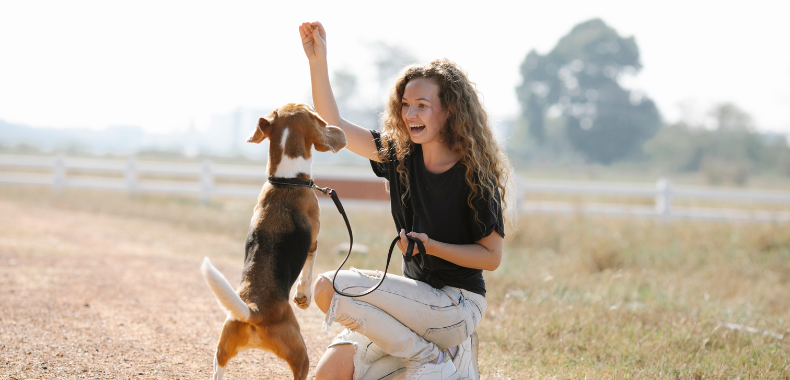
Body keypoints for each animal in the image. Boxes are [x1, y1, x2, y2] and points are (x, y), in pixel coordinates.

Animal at [201, 102, 346, 378]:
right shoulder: (313, 243)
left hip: (221, 352)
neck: (285, 181)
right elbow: (308, 273)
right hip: (301, 355)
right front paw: (303, 297)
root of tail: (254, 311)